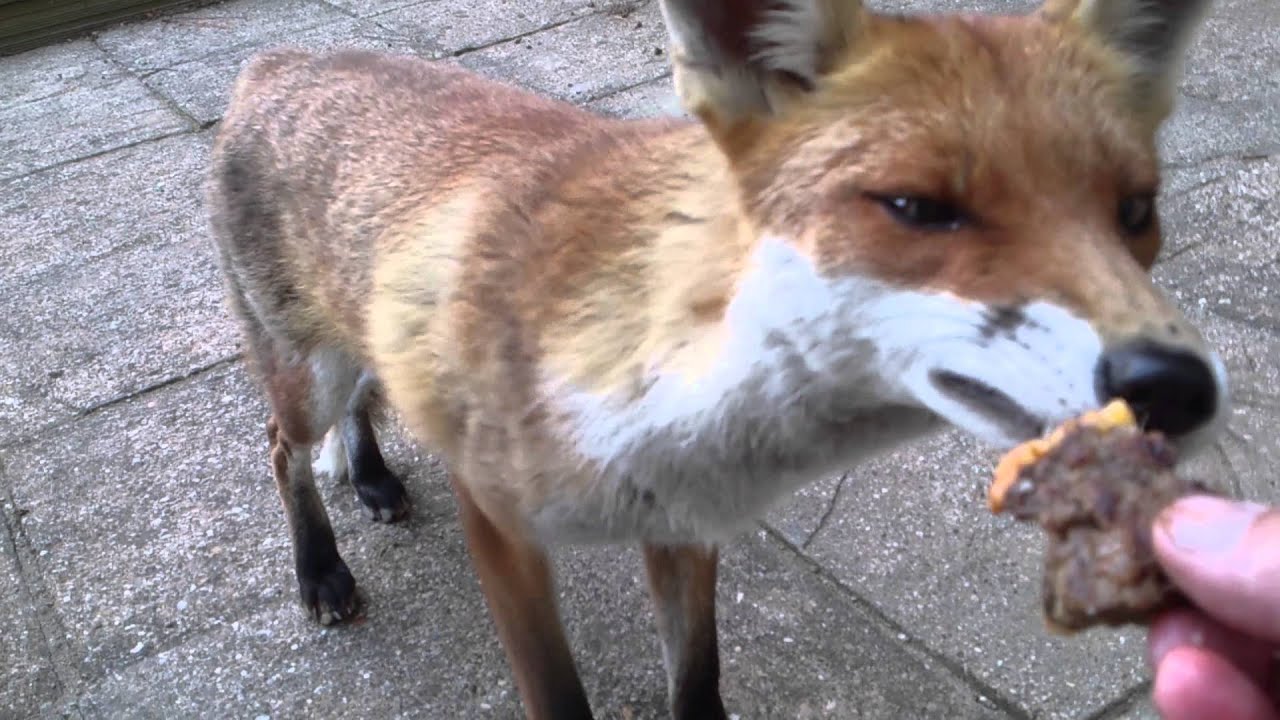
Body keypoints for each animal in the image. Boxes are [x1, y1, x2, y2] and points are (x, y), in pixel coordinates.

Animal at [207, 0, 1229, 717]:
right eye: (916, 207)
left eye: (1136, 210)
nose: (1177, 386)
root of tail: (280, 60)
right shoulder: (498, 521)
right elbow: (559, 696)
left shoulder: (684, 524)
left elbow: (697, 683)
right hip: (307, 374)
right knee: (282, 447)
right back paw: (320, 571)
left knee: (362, 404)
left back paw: (374, 477)